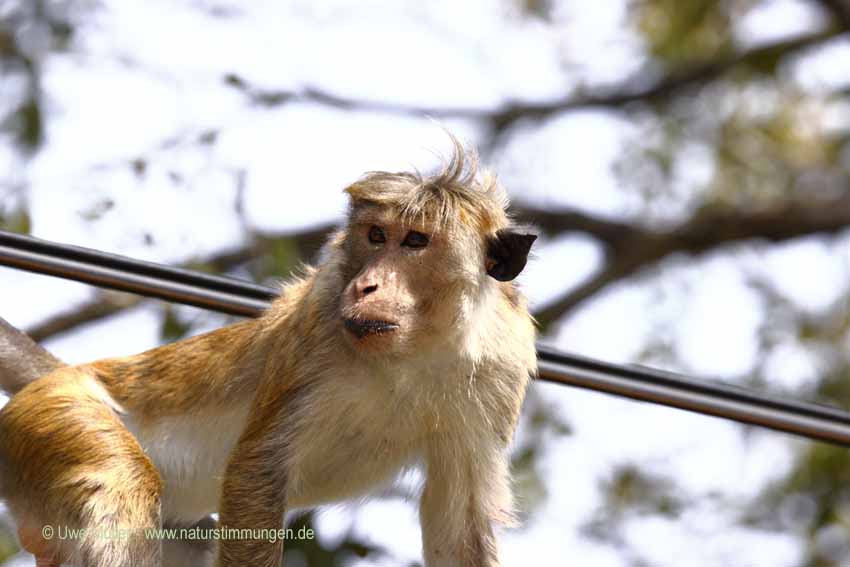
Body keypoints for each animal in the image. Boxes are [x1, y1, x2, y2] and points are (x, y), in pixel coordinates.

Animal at [0, 139, 532, 567]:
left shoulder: (501, 368)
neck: (415, 351)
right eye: (376, 235)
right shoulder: (317, 326)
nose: (367, 285)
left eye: (416, 241)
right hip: (56, 414)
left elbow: (458, 525)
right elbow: (254, 472)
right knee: (120, 478)